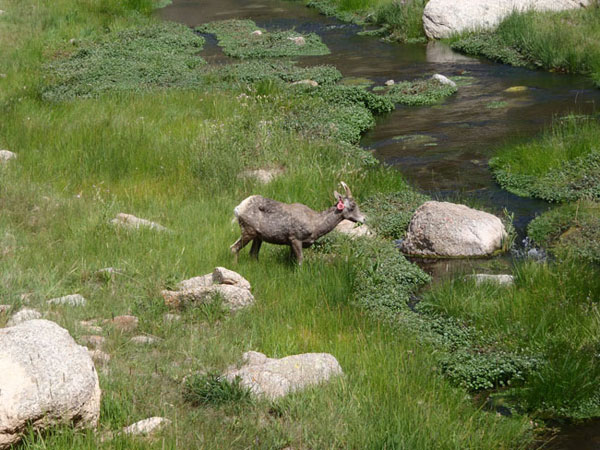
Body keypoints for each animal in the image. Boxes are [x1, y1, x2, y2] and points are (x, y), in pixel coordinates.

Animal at [231, 181, 366, 264]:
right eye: (353, 205)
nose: (364, 219)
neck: (315, 224)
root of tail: (238, 209)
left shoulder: (291, 243)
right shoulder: (295, 238)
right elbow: (300, 260)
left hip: (258, 236)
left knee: (253, 253)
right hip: (248, 230)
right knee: (234, 248)